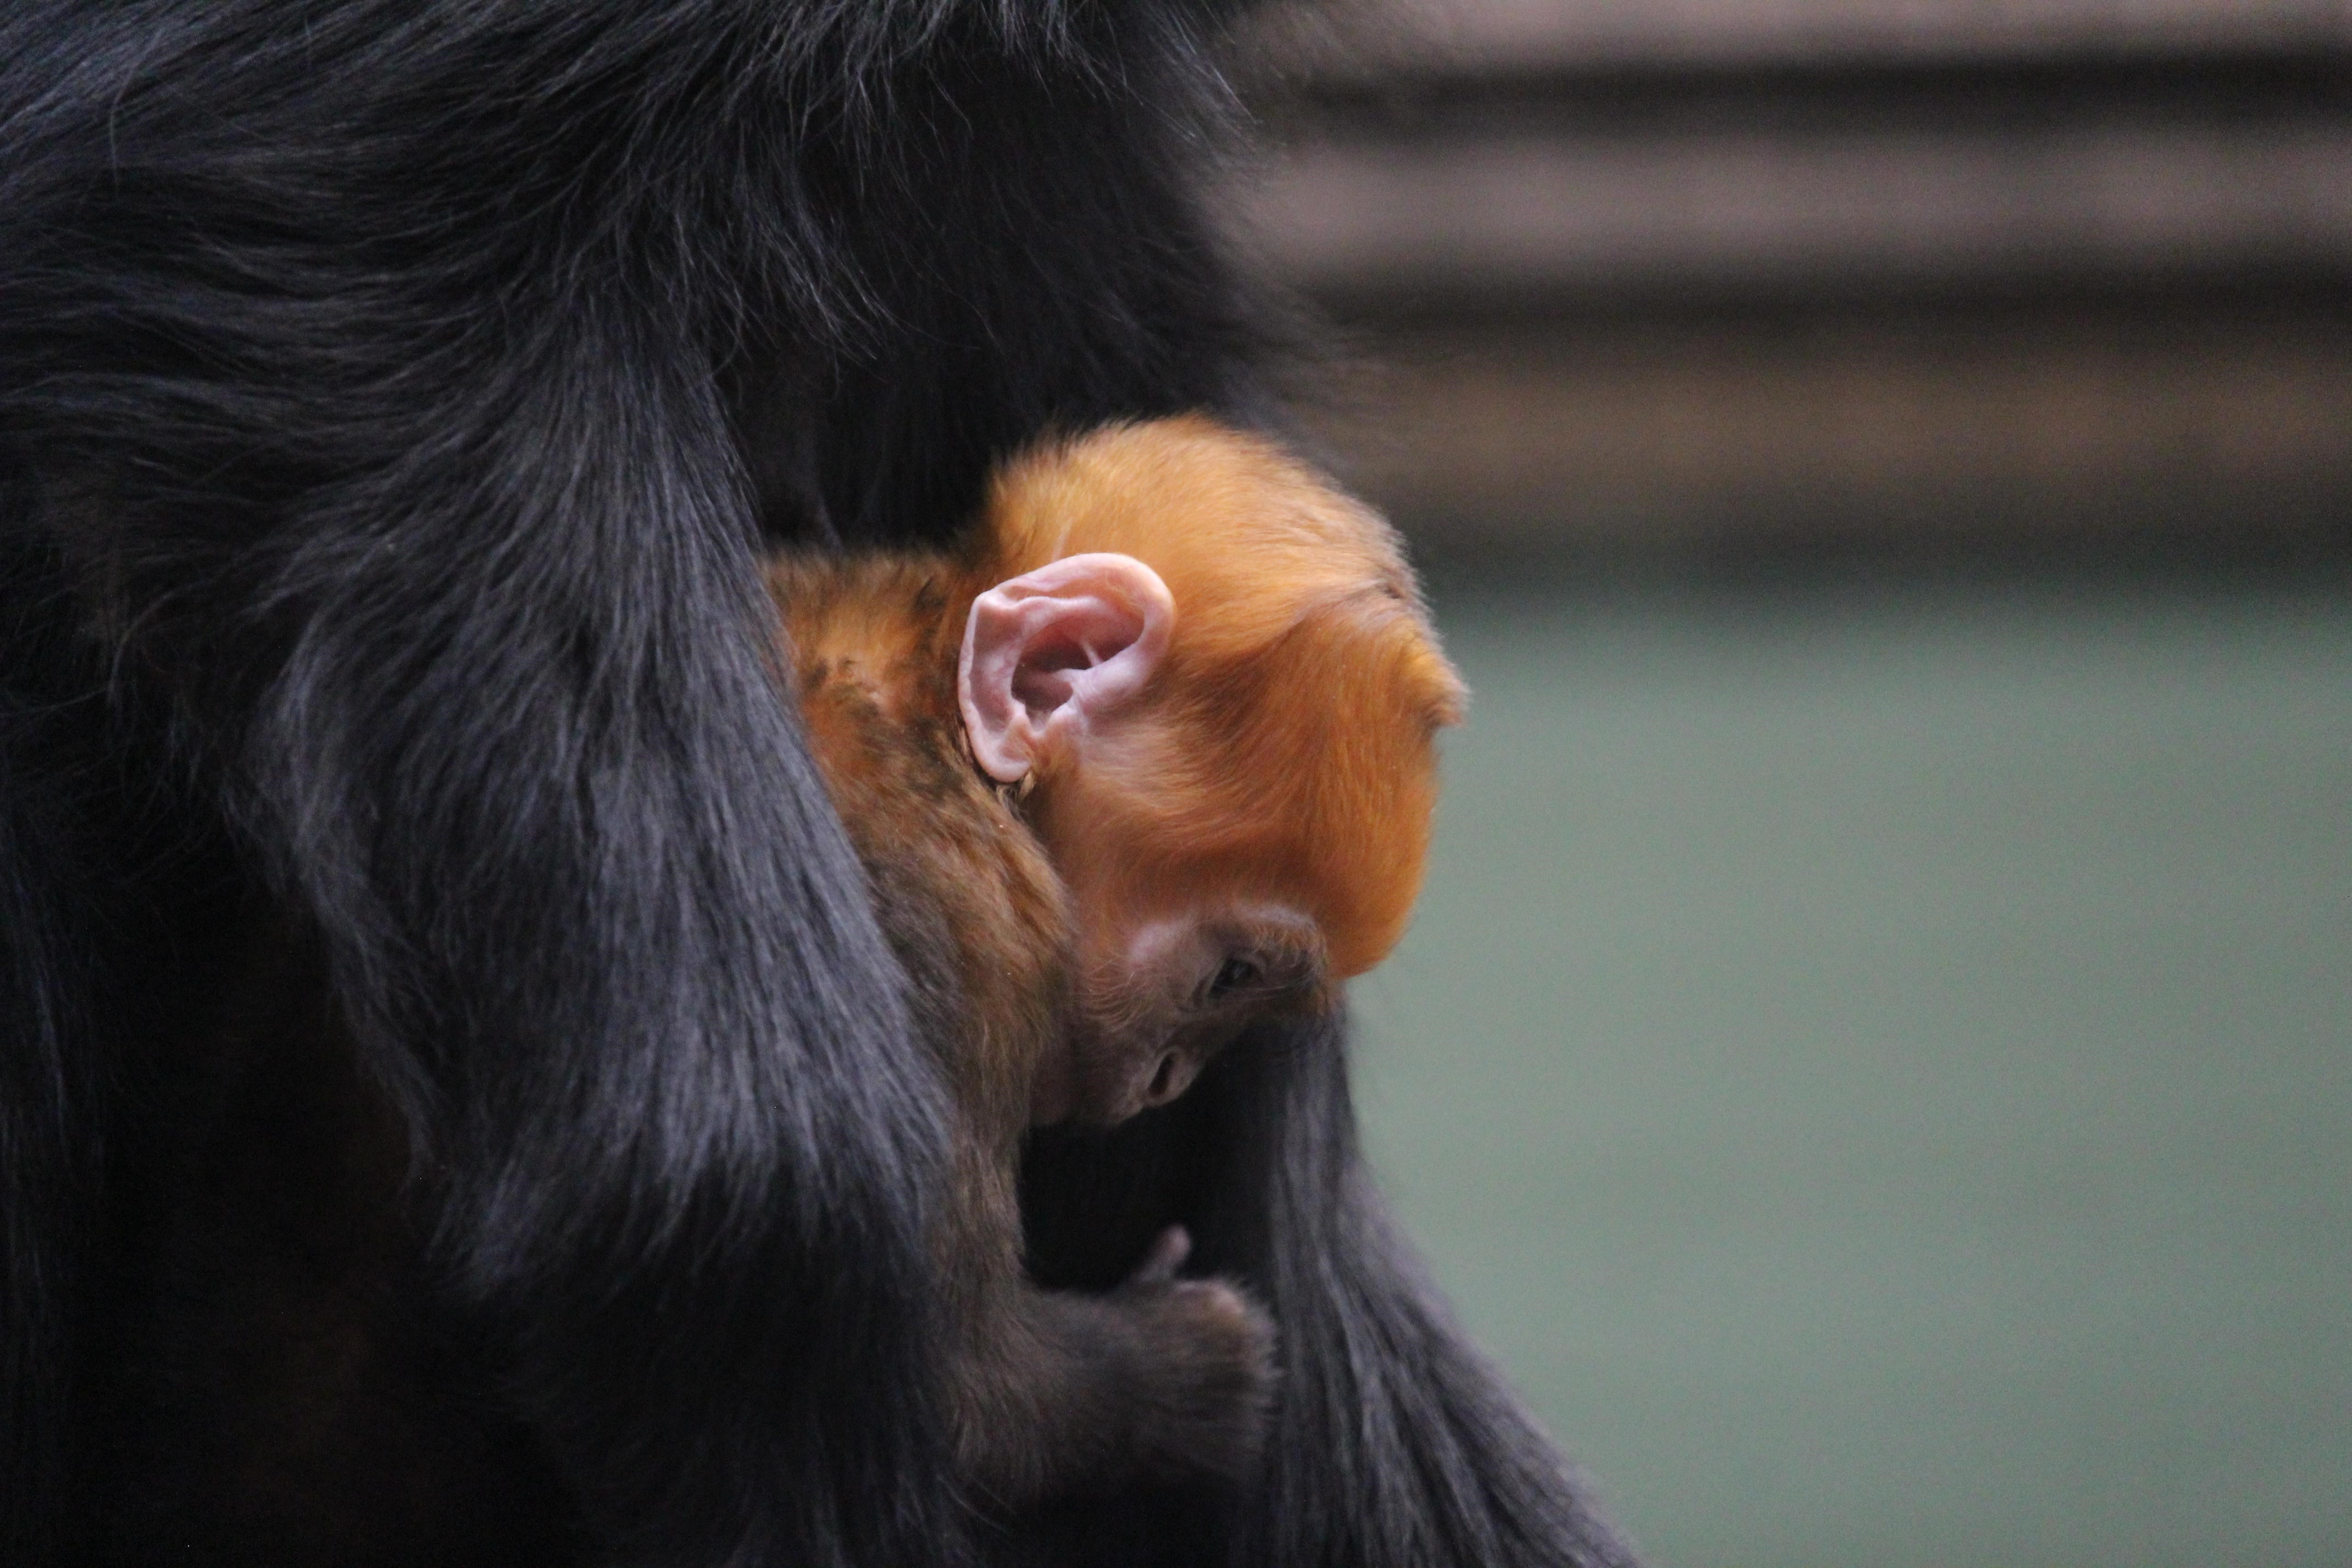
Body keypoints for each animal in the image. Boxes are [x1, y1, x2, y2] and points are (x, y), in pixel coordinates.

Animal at [771, 413, 1458, 1504]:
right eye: (1230, 977)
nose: (1166, 1079)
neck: (933, 717)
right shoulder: (971, 914)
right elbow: (954, 1386)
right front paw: (1192, 1368)